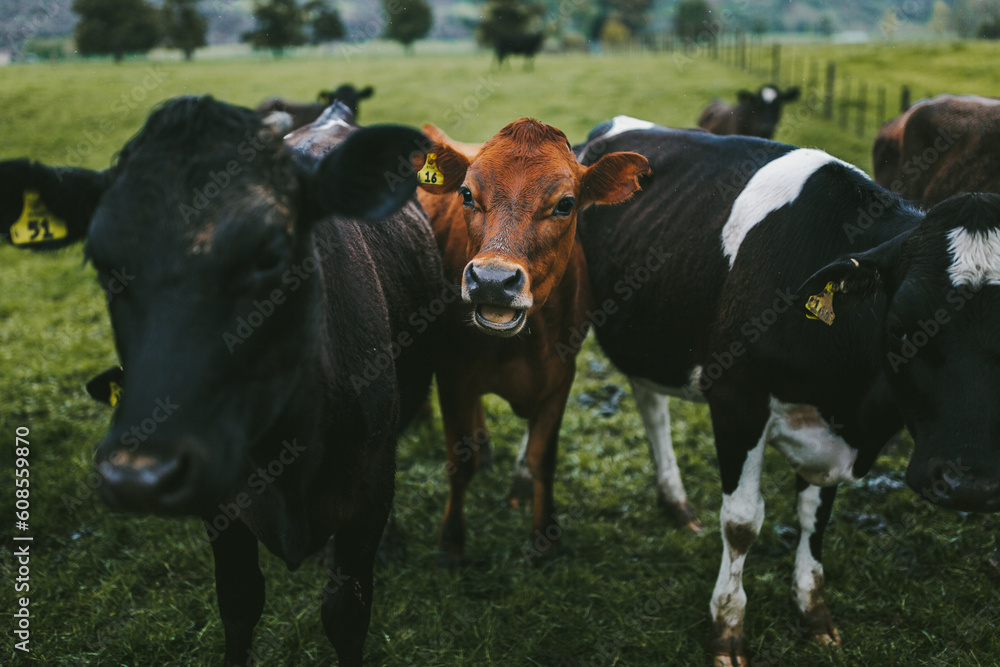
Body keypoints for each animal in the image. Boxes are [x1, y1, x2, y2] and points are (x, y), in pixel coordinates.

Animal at [0, 98, 444, 667]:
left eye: (270, 256)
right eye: (104, 266)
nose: (137, 475)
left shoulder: (369, 486)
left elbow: (347, 613)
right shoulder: (219, 502)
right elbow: (238, 600)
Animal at [414, 118, 648, 564]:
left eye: (565, 204)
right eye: (466, 194)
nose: (492, 280)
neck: (523, 347)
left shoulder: (561, 377)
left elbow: (542, 459)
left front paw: (546, 540)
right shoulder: (452, 375)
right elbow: (459, 462)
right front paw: (451, 542)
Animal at [572, 117, 1000, 664]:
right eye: (902, 329)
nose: (969, 484)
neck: (851, 405)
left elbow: (816, 517)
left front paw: (813, 614)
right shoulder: (735, 398)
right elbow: (742, 522)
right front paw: (727, 630)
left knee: (649, 401)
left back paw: (675, 502)